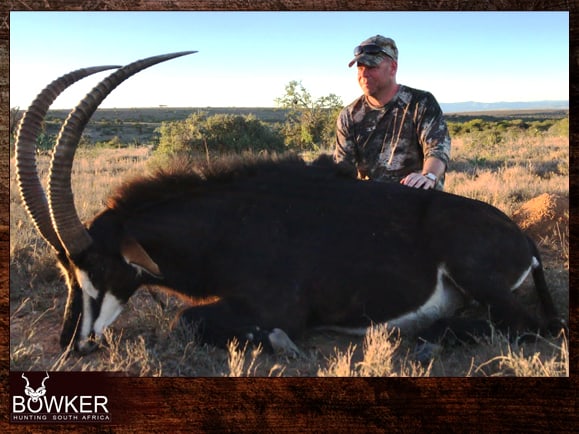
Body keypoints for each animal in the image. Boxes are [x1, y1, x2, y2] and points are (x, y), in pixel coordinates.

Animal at [17, 51, 560, 360]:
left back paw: (426, 338)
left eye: (100, 267)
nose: (71, 344)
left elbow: (186, 320)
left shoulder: (279, 307)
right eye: (66, 271)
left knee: (532, 327)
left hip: (478, 277)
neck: (225, 228)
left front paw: (281, 344)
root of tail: (523, 237)